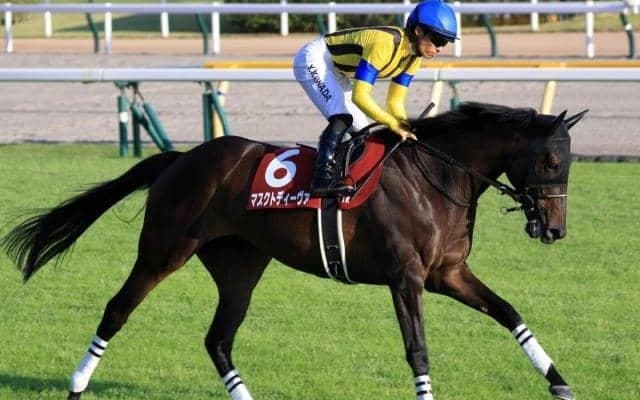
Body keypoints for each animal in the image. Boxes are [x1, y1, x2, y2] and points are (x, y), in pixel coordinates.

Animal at [2, 102, 587, 400]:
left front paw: (559, 383)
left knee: (218, 339)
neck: (436, 176)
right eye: (551, 162)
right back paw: (77, 385)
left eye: (569, 162)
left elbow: (510, 313)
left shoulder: (448, 273)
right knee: (117, 310)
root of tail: (181, 159)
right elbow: (418, 350)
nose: (555, 230)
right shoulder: (407, 278)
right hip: (165, 249)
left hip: (240, 264)